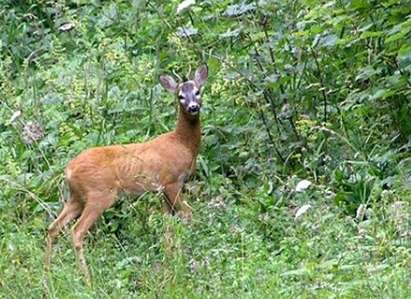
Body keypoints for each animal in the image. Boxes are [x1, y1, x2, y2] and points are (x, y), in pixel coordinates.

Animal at [45, 64, 209, 282]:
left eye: (198, 91)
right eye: (180, 96)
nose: (193, 107)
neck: (182, 144)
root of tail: (68, 170)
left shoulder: (161, 190)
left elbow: (167, 226)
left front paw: (171, 261)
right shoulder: (171, 181)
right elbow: (187, 214)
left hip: (76, 197)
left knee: (53, 228)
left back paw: (47, 276)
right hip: (100, 194)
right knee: (76, 231)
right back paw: (87, 279)